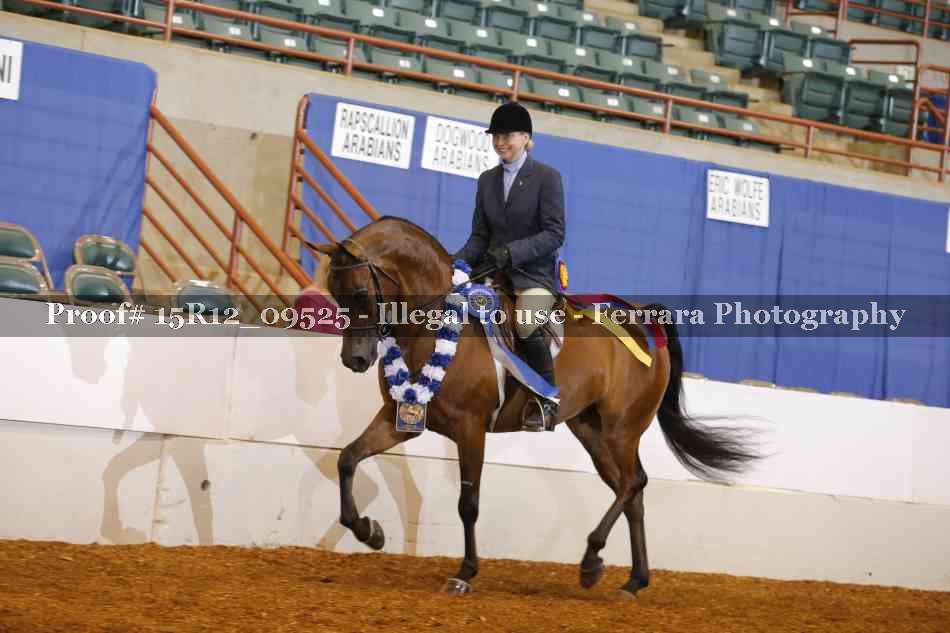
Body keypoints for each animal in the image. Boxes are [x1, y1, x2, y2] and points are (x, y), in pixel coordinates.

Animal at [307, 216, 759, 597]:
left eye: (361, 292)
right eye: (335, 293)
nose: (355, 360)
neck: (432, 326)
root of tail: (640, 320)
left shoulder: (471, 428)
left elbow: (468, 504)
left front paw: (465, 573)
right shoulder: (400, 419)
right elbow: (347, 459)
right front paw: (369, 532)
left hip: (622, 428)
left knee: (633, 483)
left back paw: (592, 561)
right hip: (591, 431)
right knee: (631, 491)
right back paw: (632, 581)